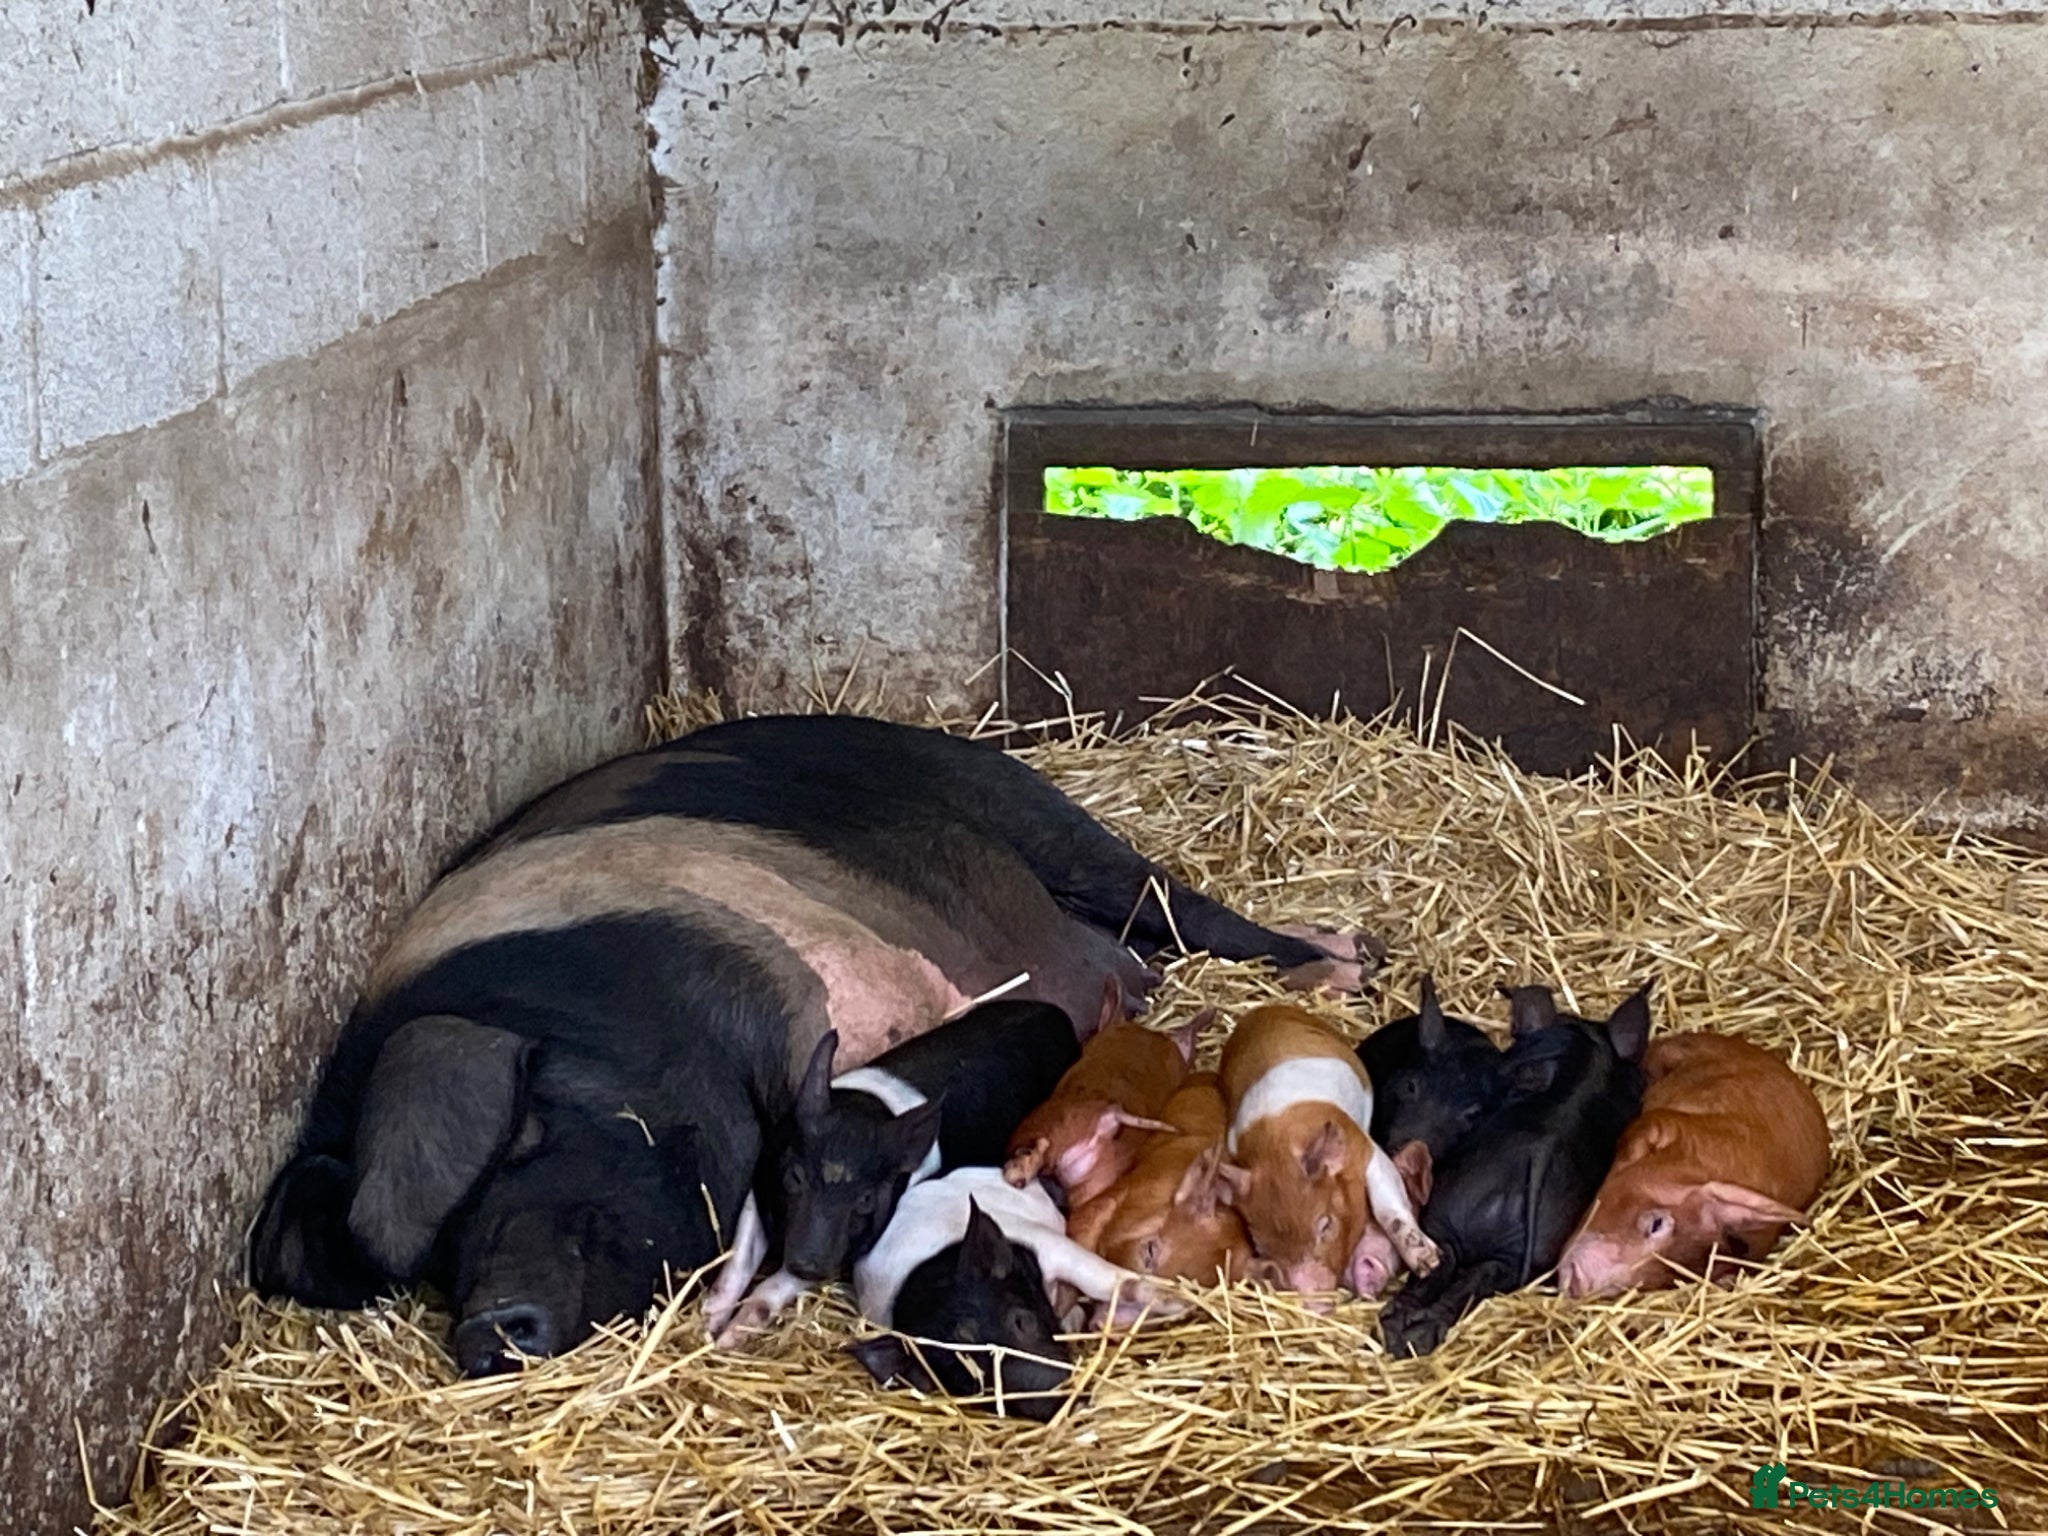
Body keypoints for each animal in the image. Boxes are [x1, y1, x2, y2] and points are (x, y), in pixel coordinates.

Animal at [703, 999, 1083, 1344]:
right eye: (794, 1177)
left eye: (866, 1199)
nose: (808, 1263)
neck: (865, 1111)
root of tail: (1058, 1013)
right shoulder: (762, 1181)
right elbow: (739, 1257)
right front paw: (707, 1325)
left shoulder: (856, 1243)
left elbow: (774, 1285)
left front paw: (728, 1339)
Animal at [849, 1173, 1174, 1421]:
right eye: (972, 1382)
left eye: (1021, 1322)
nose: (1069, 1406)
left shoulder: (1047, 1243)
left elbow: (1103, 1278)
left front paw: (1174, 1303)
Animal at [1216, 1004, 1439, 1297]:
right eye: (1261, 1245)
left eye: (1325, 1224)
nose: (1313, 1296)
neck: (1276, 1147)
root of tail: (1264, 1009)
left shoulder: (1362, 1145)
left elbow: (1387, 1202)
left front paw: (1429, 1263)